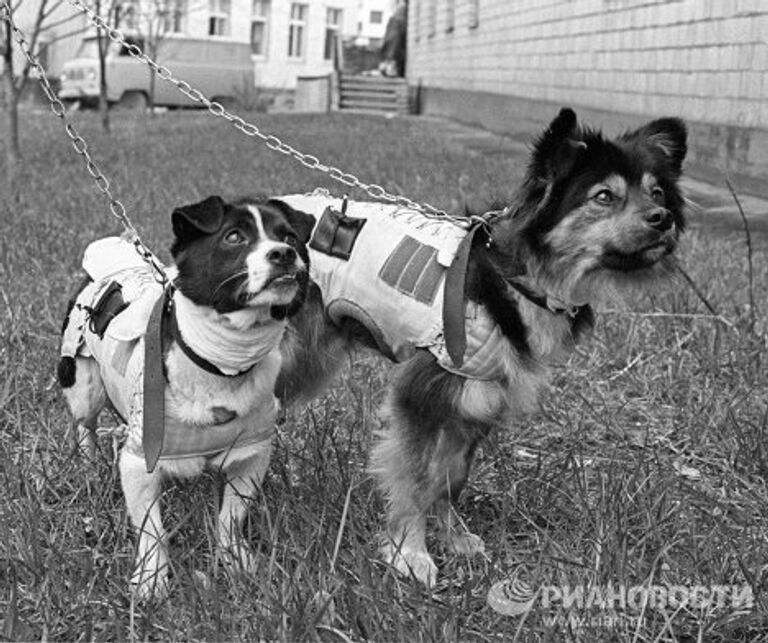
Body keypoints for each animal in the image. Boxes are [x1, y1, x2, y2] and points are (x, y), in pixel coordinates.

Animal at [57, 195, 312, 600]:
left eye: (289, 237)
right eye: (234, 237)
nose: (284, 253)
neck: (219, 369)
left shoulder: (251, 455)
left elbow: (230, 516)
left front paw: (236, 561)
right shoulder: (138, 463)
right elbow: (152, 530)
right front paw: (151, 580)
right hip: (83, 386)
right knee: (85, 425)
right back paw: (89, 467)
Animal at [272, 109, 688, 588]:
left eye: (657, 192)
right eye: (604, 196)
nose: (663, 218)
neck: (514, 280)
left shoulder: (475, 396)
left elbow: (449, 477)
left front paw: (454, 537)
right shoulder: (421, 394)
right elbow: (413, 477)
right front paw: (409, 552)